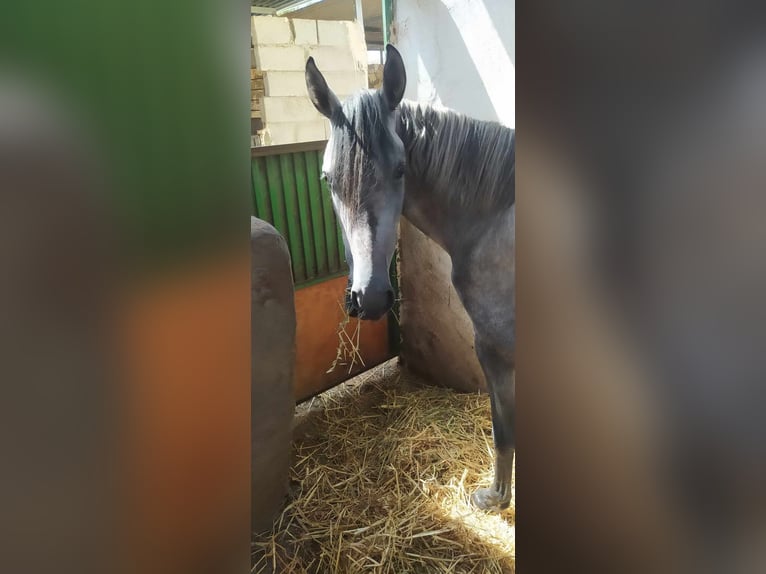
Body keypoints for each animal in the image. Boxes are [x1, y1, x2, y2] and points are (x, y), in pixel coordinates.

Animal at [306, 44, 516, 512]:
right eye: (327, 179)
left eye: (401, 169)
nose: (369, 298)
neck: (492, 220)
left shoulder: (495, 346)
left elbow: (504, 426)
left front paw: (495, 498)